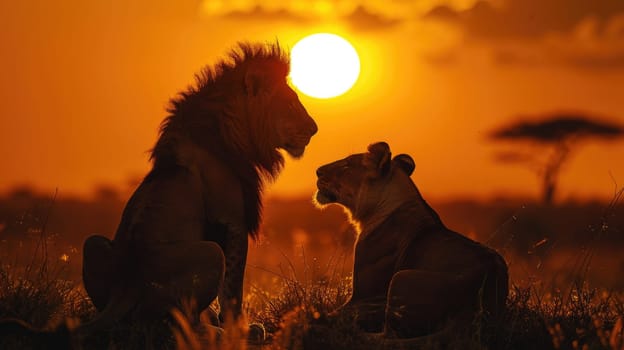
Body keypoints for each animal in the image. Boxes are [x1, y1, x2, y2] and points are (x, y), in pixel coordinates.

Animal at [316, 141, 508, 344]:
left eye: (346, 166)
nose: (317, 171)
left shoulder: (367, 297)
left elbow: (334, 312)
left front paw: (314, 315)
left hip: (401, 277)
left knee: (387, 337)